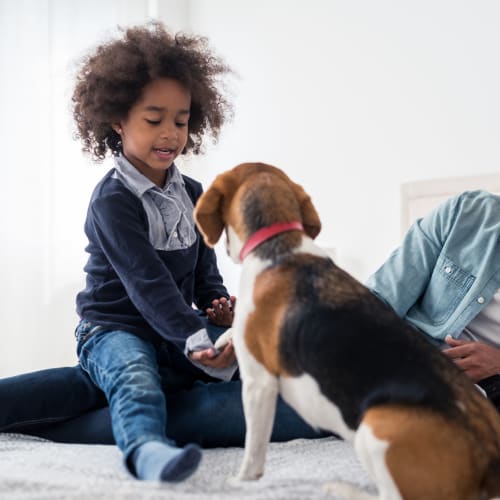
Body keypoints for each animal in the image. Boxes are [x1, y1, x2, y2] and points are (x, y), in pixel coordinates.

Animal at [193, 162, 500, 498]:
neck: (278, 244)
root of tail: (489, 460)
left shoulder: (258, 383)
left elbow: (254, 448)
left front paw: (240, 481)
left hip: (375, 427)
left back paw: (342, 488)